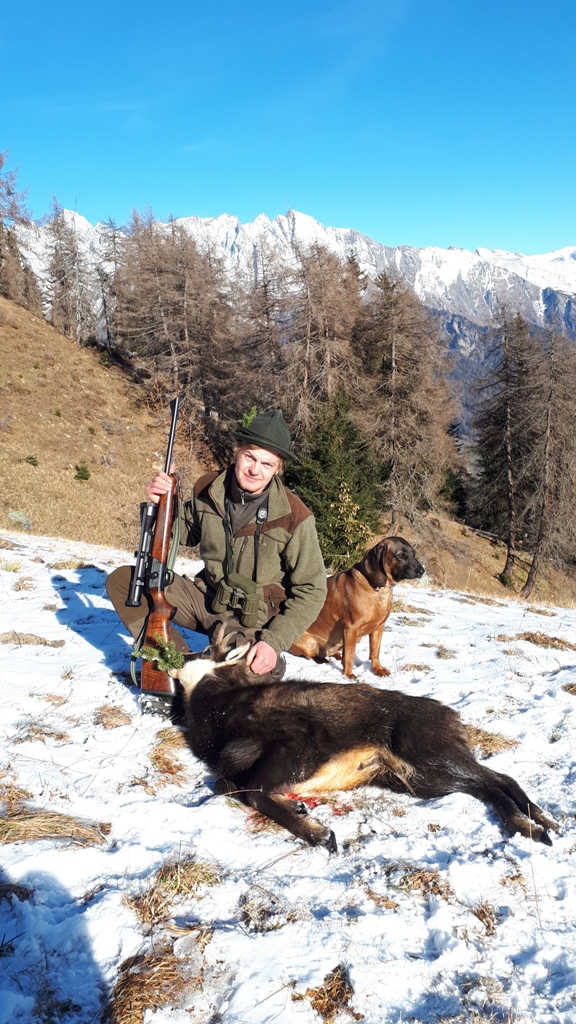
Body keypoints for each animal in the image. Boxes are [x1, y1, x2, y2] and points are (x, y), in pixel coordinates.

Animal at [168, 627, 558, 853]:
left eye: (207, 652)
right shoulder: (236, 764)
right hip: (418, 778)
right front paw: (300, 809)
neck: (217, 709)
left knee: (499, 778)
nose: (177, 658)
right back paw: (532, 823)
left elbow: (251, 791)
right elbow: (228, 784)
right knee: (486, 787)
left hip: (429, 754)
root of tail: (453, 718)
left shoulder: (297, 742)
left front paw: (320, 834)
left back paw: (537, 822)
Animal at [290, 537, 425, 678]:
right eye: (401, 555)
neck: (378, 590)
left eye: (413, 554)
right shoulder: (350, 628)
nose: (422, 571)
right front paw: (348, 674)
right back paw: (322, 659)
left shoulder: (379, 628)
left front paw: (377, 669)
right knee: (312, 655)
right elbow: (350, 654)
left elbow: (375, 651)